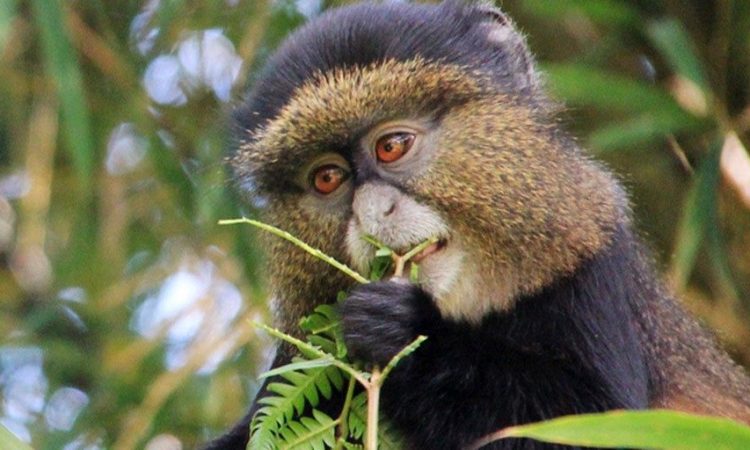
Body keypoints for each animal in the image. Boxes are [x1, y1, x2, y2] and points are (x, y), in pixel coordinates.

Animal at [207, 1, 750, 449]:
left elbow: (591, 423)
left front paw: (405, 329)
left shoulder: (592, 262)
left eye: (392, 146)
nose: (372, 215)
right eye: (327, 178)